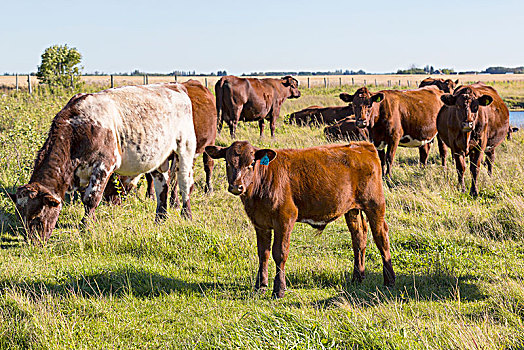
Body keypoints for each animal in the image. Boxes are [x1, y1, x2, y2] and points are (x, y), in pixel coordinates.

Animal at [7, 83, 196, 245]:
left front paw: (85, 228)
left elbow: (91, 199)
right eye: (20, 217)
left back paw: (186, 215)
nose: (33, 243)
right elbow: (86, 198)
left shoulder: (104, 166)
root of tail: (175, 86)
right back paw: (160, 219)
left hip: (185, 147)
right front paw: (91, 222)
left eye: (38, 217)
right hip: (159, 157)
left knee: (185, 182)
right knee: (162, 185)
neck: (77, 130)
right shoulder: (82, 174)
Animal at [205, 139, 392, 298]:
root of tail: (362, 145)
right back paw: (357, 277)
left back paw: (389, 281)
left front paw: (279, 290)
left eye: (251, 163)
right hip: (352, 209)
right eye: (228, 163)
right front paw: (260, 286)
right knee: (359, 238)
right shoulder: (260, 223)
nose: (236, 186)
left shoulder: (285, 218)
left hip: (375, 204)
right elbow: (263, 253)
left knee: (381, 237)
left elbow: (279, 253)